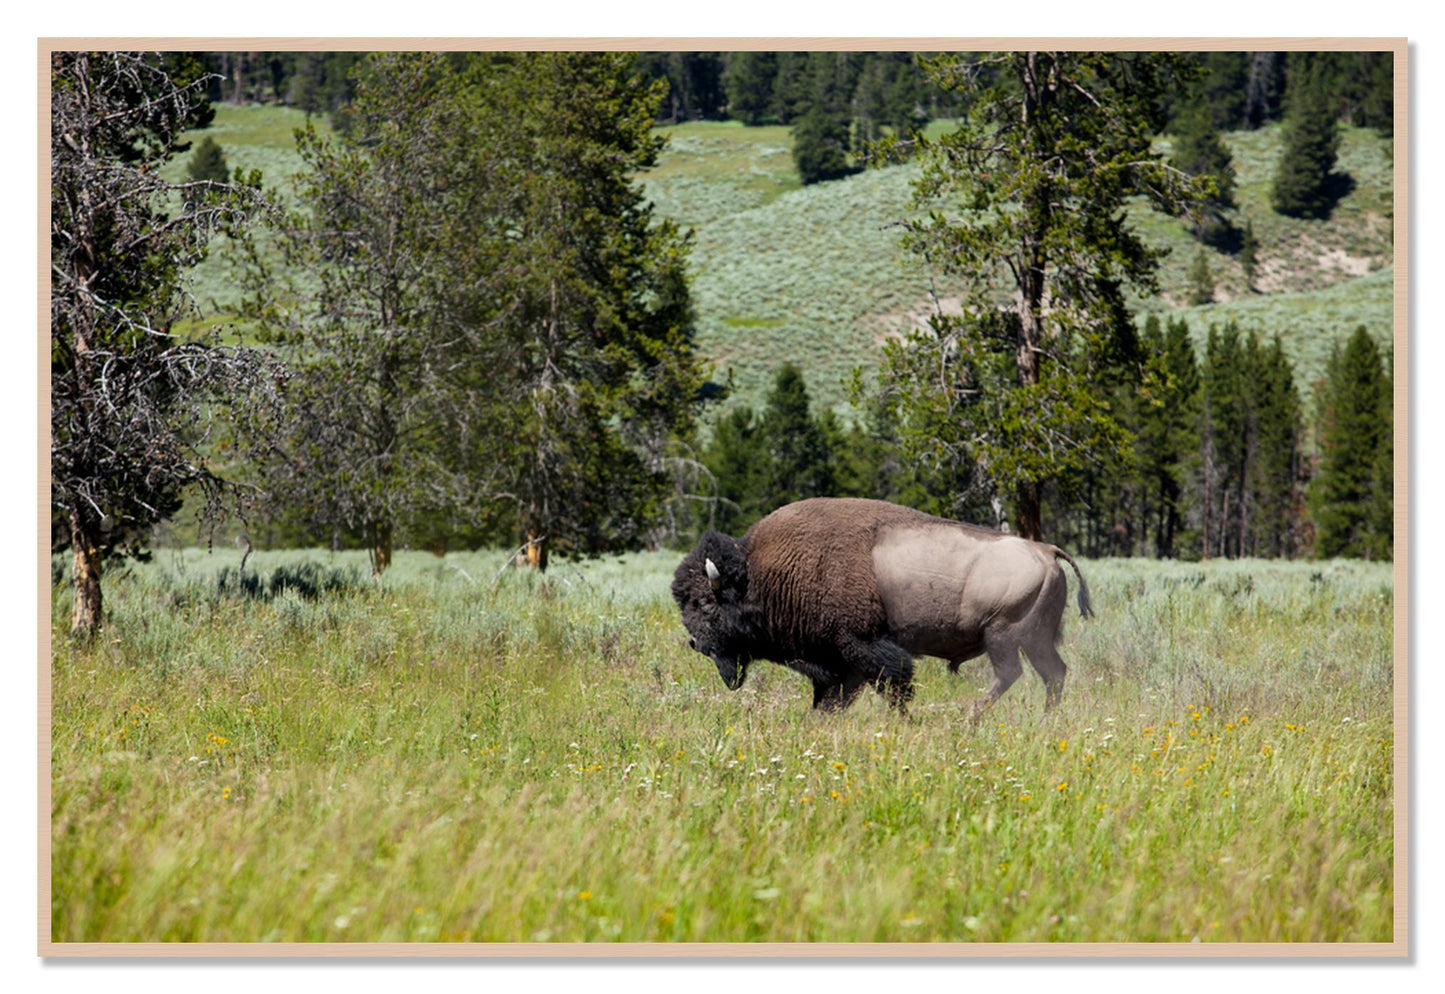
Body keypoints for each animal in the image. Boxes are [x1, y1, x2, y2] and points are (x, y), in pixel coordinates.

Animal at [671, 497, 1093, 719]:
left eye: (705, 604)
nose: (696, 643)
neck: (761, 573)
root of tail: (1046, 550)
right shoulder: (837, 663)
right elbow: (832, 698)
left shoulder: (862, 647)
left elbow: (893, 684)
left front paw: (904, 720)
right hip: (1035, 639)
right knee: (1053, 673)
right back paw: (1045, 719)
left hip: (1002, 635)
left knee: (1011, 674)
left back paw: (969, 718)